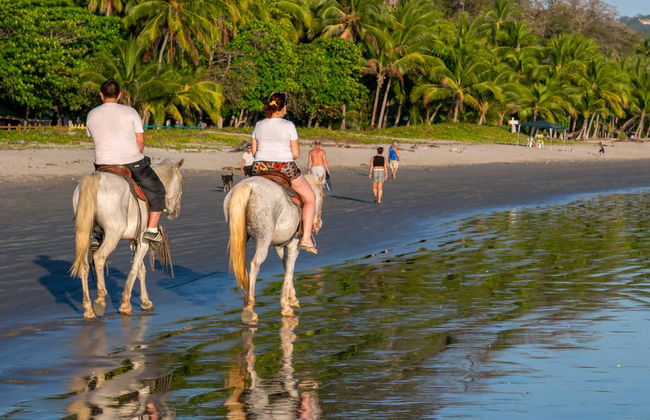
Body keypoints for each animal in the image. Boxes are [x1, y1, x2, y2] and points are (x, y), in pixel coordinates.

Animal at [70, 159, 184, 319]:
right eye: (181, 180)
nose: (176, 212)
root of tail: (95, 177)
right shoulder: (143, 241)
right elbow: (135, 268)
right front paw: (125, 304)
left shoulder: (134, 241)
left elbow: (141, 269)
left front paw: (145, 301)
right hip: (113, 235)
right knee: (99, 257)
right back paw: (100, 300)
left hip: (85, 235)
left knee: (85, 265)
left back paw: (88, 308)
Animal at [224, 174, 324, 324]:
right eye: (322, 195)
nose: (318, 223)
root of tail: (248, 186)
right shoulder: (293, 244)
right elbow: (289, 269)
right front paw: (286, 307)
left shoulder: (281, 247)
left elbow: (286, 267)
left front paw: (292, 299)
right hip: (263, 239)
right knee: (255, 264)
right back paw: (249, 309)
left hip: (240, 236)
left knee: (241, 266)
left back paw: (245, 304)